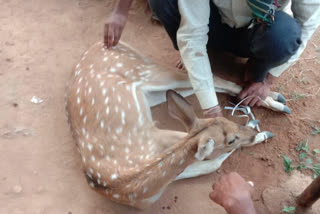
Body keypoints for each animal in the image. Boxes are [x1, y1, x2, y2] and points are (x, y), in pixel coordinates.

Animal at [65, 41, 282, 209]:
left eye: (229, 122)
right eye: (230, 139)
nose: (252, 131)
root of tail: (100, 43)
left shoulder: (157, 134)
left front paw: (260, 132)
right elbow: (208, 164)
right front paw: (260, 134)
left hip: (148, 71)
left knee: (209, 78)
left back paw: (273, 100)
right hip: (153, 88)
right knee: (202, 83)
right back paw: (271, 100)